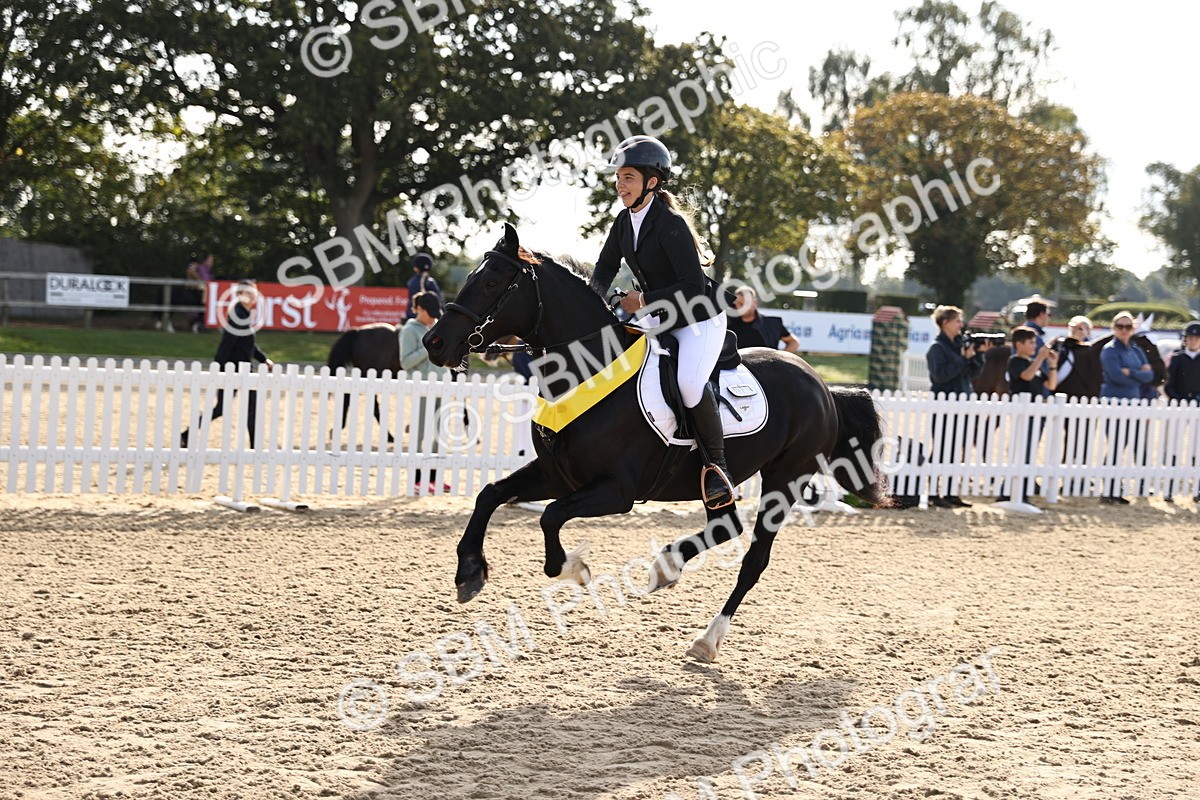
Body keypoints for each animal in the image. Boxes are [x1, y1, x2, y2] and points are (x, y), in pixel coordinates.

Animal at [422, 224, 890, 662]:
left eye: (492, 282)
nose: (434, 342)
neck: (589, 368)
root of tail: (823, 386)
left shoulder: (616, 491)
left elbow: (551, 518)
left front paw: (573, 568)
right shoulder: (559, 475)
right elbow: (490, 493)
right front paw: (469, 572)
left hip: (786, 478)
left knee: (753, 559)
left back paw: (707, 638)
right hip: (722, 478)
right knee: (726, 524)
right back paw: (668, 567)